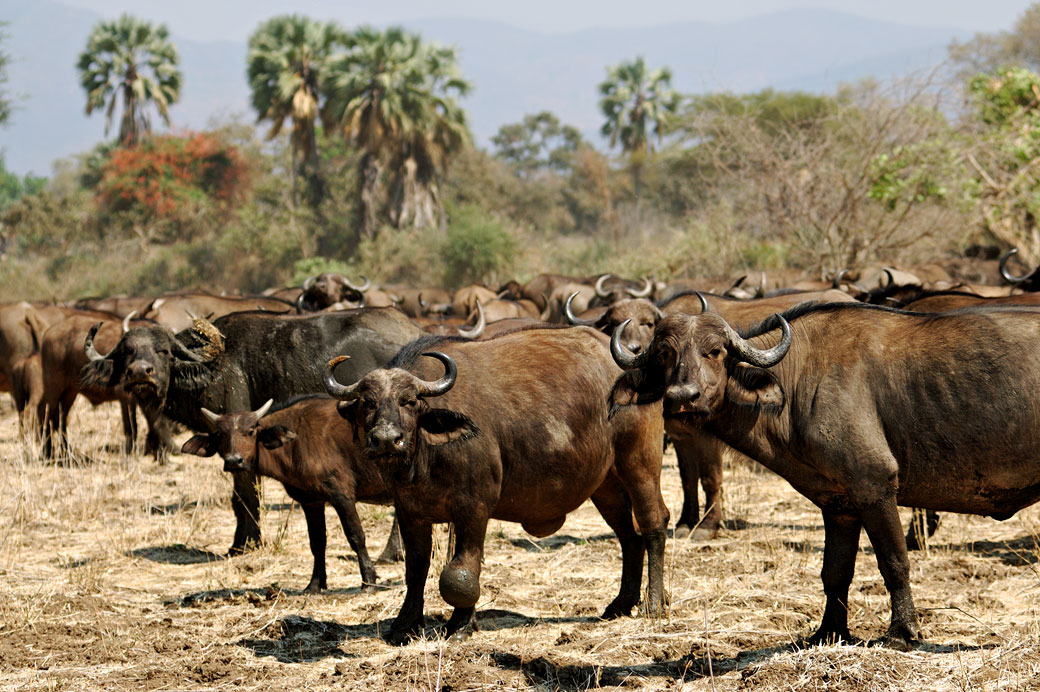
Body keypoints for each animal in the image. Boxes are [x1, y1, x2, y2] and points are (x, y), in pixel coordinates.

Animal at [183, 397, 401, 591]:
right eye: (221, 435)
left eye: (251, 431)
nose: (233, 461)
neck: (297, 440)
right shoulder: (311, 501)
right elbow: (317, 542)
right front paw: (315, 584)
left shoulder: (341, 495)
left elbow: (356, 536)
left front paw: (369, 581)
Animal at [320, 328, 669, 641]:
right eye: (368, 402)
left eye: (409, 401)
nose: (387, 440)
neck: (427, 451)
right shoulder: (410, 511)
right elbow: (416, 568)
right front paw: (405, 625)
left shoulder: (474, 508)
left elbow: (460, 571)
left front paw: (461, 626)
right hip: (606, 485)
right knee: (629, 537)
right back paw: (620, 604)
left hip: (640, 463)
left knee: (653, 523)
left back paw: (653, 604)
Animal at [607, 301, 1040, 649]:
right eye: (665, 355)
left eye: (714, 352)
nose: (682, 399)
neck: (798, 380)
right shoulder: (839, 504)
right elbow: (835, 572)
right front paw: (829, 632)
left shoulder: (875, 487)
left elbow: (895, 562)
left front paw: (902, 632)